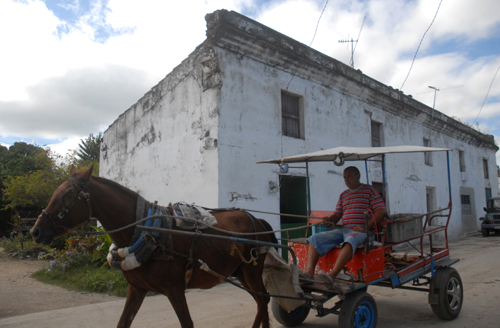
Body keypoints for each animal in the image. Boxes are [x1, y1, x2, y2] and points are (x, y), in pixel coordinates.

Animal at [31, 167, 278, 328]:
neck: (146, 233)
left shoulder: (175, 289)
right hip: (239, 272)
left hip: (251, 269)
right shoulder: (137, 288)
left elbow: (187, 323)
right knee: (261, 300)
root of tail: (257, 219)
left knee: (263, 300)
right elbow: (122, 323)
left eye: (66, 196)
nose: (35, 231)